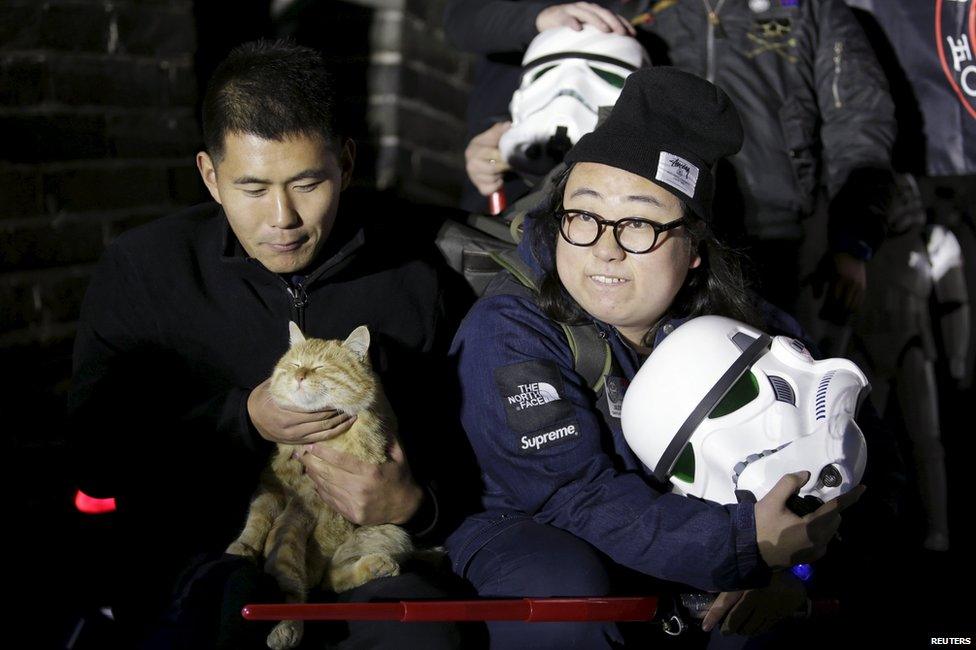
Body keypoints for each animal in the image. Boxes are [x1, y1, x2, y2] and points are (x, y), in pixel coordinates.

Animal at [228, 320, 412, 648]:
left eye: (320, 367)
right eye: (296, 364)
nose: (300, 376)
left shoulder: (321, 503)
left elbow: (300, 554)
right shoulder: (271, 487)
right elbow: (256, 520)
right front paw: (242, 547)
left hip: (391, 532)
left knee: (323, 582)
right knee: (321, 581)